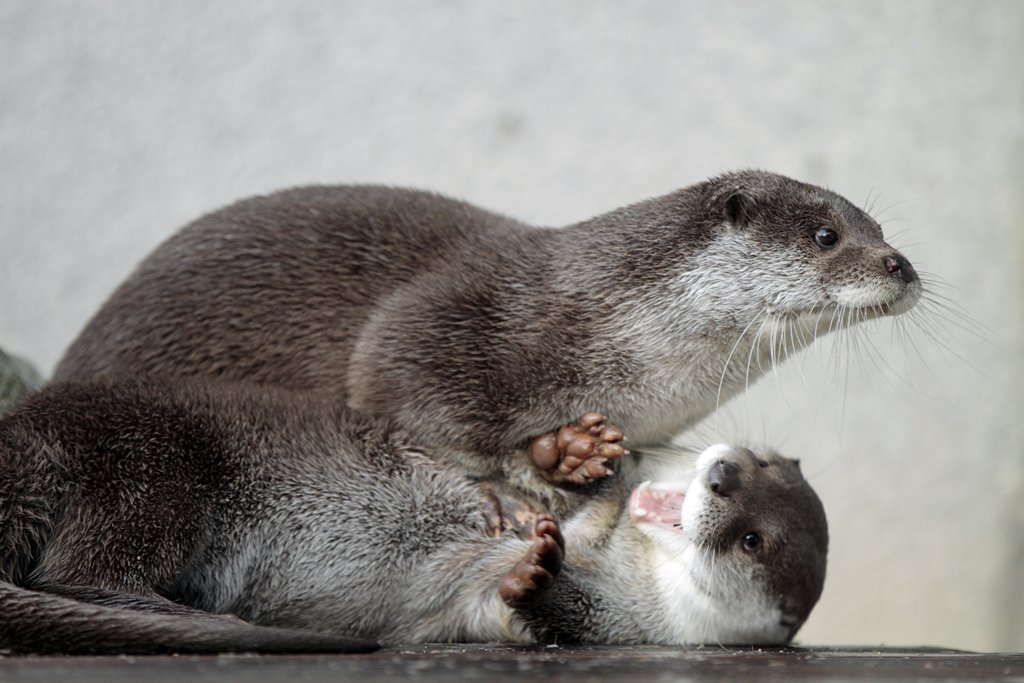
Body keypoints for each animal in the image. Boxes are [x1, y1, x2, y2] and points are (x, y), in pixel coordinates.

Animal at [0, 382, 823, 655]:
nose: (721, 474)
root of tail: (28, 432)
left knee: (80, 571)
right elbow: (497, 477)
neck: (613, 561)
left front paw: (533, 574)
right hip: (152, 461)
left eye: (752, 539)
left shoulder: (610, 620)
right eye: (757, 461)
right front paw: (572, 453)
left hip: (146, 476)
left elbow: (501, 612)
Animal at [54, 171, 921, 491]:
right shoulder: (449, 320)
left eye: (882, 228)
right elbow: (392, 382)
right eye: (826, 236)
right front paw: (539, 462)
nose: (903, 266)